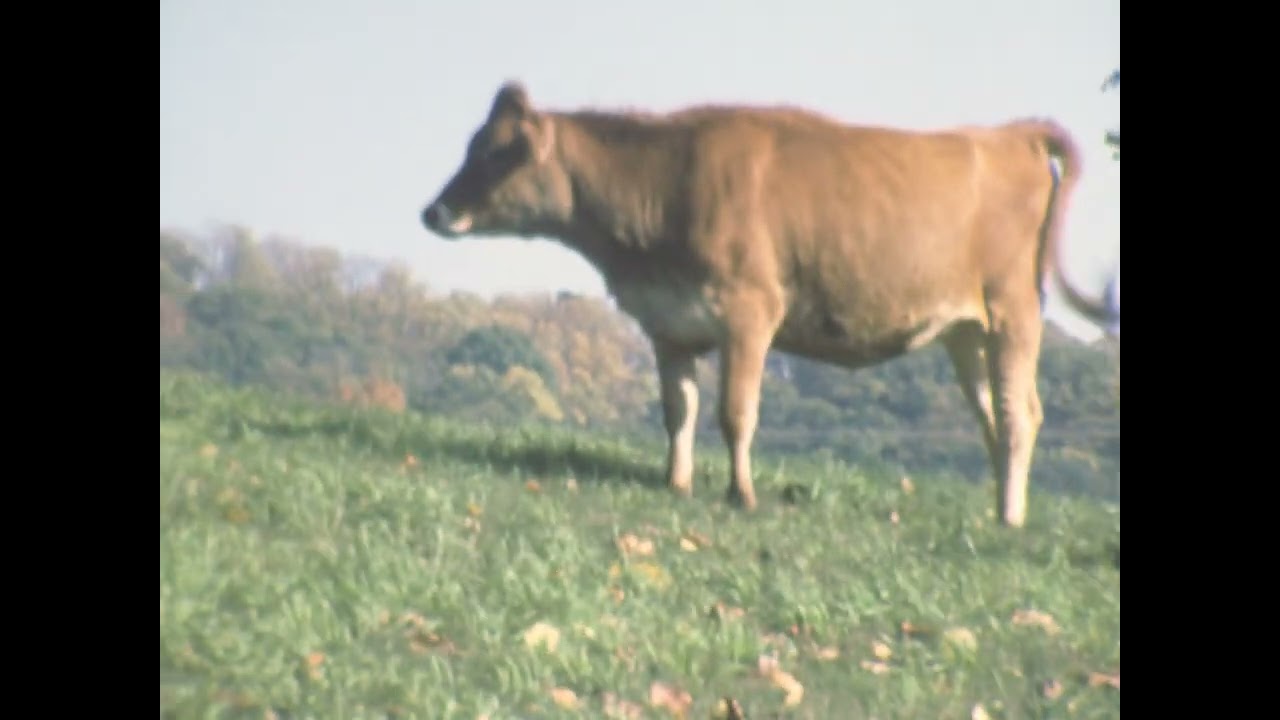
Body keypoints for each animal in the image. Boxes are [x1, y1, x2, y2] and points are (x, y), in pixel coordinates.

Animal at [420, 81, 1120, 528]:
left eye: (495, 152)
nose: (433, 211)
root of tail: (1011, 134)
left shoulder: (748, 312)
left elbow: (735, 412)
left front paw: (741, 495)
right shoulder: (668, 324)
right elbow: (678, 411)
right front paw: (676, 483)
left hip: (1013, 311)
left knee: (1020, 414)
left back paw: (1011, 518)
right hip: (965, 331)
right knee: (995, 417)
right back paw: (1002, 510)